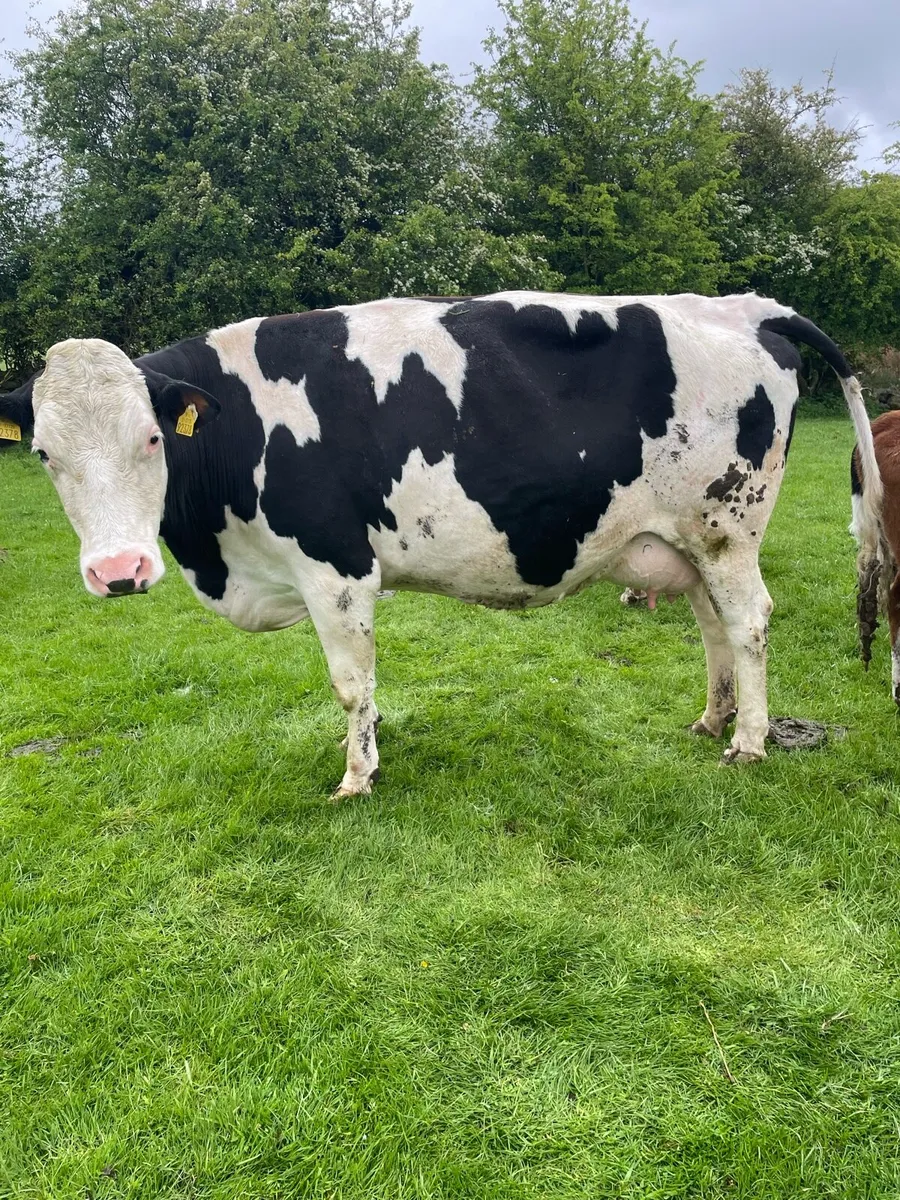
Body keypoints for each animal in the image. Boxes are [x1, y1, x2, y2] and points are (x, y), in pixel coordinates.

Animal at [0, 291, 882, 797]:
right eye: (43, 453)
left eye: (152, 438)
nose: (118, 570)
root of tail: (750, 305)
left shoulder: (336, 568)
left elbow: (350, 684)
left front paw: (358, 775)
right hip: (686, 538)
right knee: (713, 626)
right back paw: (713, 719)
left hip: (727, 526)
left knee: (750, 620)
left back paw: (750, 743)